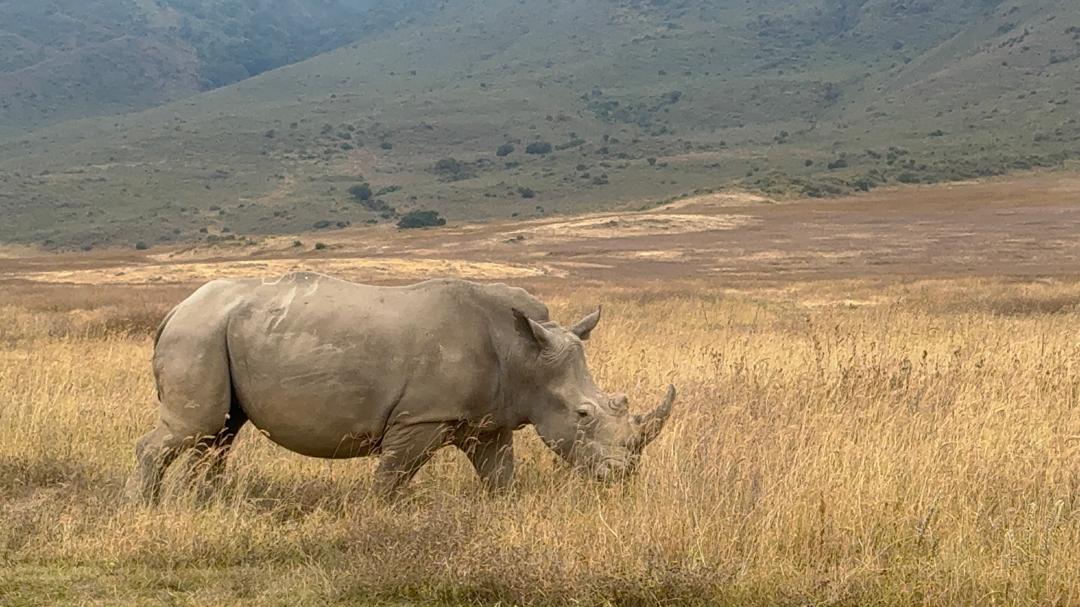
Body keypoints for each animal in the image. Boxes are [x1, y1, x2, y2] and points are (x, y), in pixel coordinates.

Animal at [126, 273, 676, 502]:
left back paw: (202, 504)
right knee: (194, 428)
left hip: (214, 331)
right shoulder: (422, 417)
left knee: (218, 434)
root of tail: (174, 309)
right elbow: (393, 475)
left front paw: (505, 512)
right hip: (197, 333)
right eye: (583, 414)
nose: (623, 475)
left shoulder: (489, 420)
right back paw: (147, 508)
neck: (526, 355)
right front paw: (377, 516)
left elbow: (500, 475)